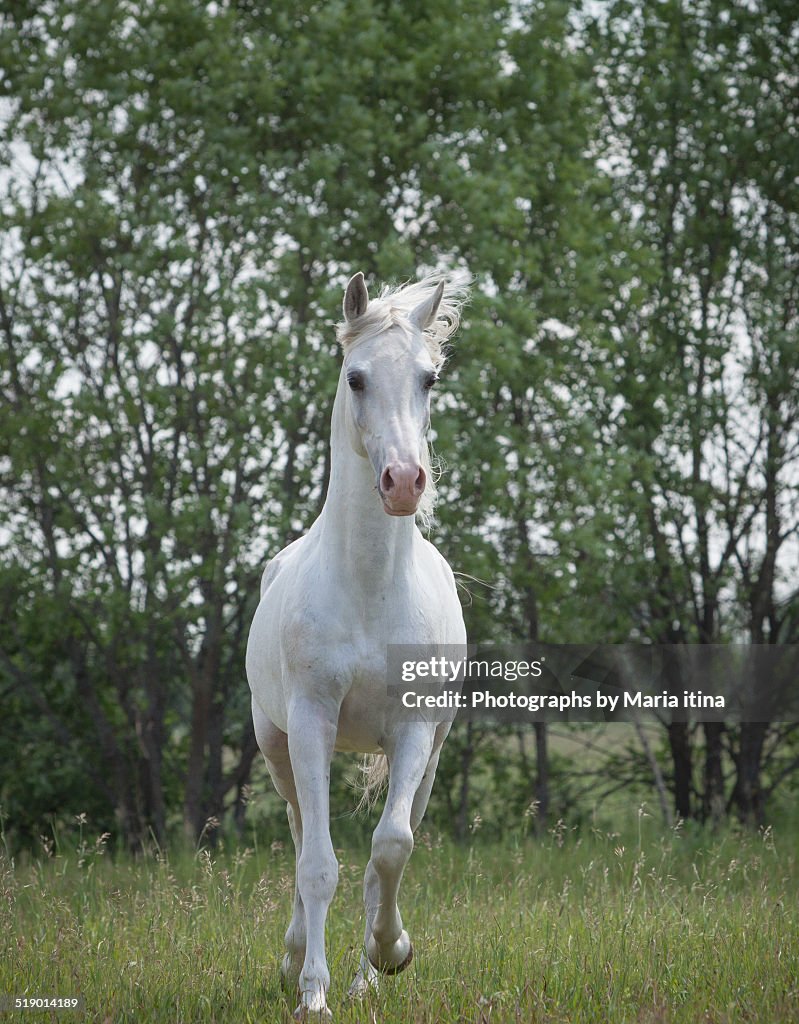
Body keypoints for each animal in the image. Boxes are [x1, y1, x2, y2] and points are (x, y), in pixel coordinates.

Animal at [246, 270, 465, 1015]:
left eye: (429, 377)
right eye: (356, 377)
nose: (403, 482)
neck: (371, 587)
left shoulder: (414, 732)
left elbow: (390, 847)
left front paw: (389, 954)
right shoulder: (312, 724)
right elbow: (317, 863)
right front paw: (312, 994)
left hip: (428, 758)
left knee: (386, 847)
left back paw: (368, 972)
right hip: (277, 746)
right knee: (296, 837)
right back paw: (291, 960)